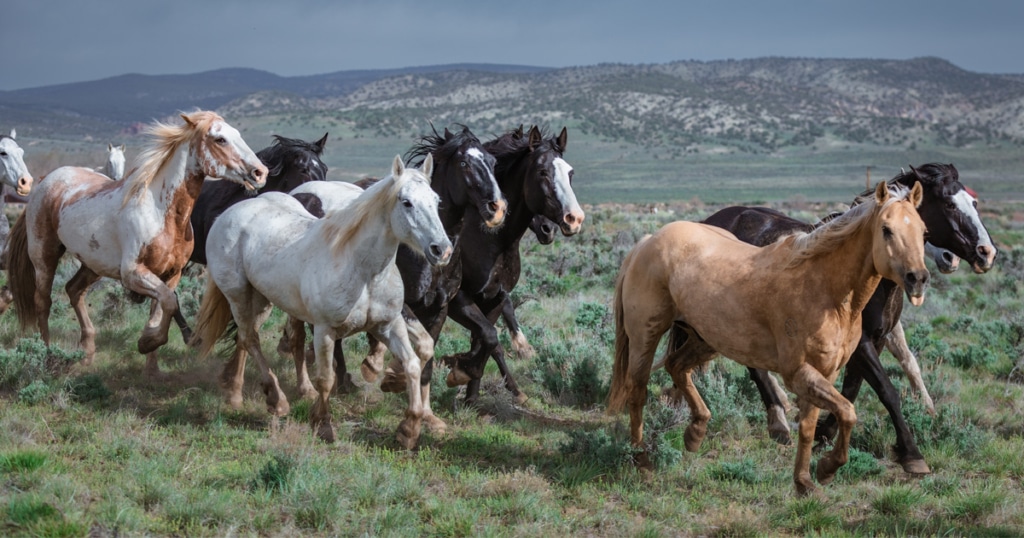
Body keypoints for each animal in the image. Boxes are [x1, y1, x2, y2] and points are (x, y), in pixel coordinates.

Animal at [5, 111, 267, 375]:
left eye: (238, 133)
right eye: (220, 139)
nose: (260, 172)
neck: (161, 213)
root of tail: (45, 180)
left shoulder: (170, 275)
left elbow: (161, 309)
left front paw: (152, 367)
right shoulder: (133, 273)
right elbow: (169, 304)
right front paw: (146, 343)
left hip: (93, 265)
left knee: (74, 290)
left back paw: (87, 353)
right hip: (44, 256)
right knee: (43, 302)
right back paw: (47, 353)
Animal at [192, 155, 452, 449]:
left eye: (436, 200)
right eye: (406, 202)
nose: (442, 250)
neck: (363, 271)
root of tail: (229, 214)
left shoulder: (389, 325)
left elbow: (413, 364)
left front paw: (409, 429)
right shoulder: (325, 331)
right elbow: (326, 379)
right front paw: (323, 426)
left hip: (262, 298)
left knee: (247, 338)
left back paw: (237, 394)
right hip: (237, 294)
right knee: (250, 338)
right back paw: (275, 400)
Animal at [609, 182, 928, 496]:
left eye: (923, 231)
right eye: (886, 229)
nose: (918, 279)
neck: (826, 292)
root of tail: (646, 242)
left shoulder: (826, 373)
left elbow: (811, 425)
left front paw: (805, 481)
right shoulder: (798, 373)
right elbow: (848, 412)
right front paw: (827, 468)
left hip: (707, 340)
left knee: (676, 366)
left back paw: (695, 433)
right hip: (645, 336)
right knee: (638, 391)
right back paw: (642, 460)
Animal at [675, 163, 994, 474]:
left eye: (975, 202)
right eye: (949, 204)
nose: (986, 253)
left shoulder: (876, 339)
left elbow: (853, 388)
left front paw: (824, 434)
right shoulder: (862, 343)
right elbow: (887, 391)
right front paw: (911, 454)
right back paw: (777, 422)